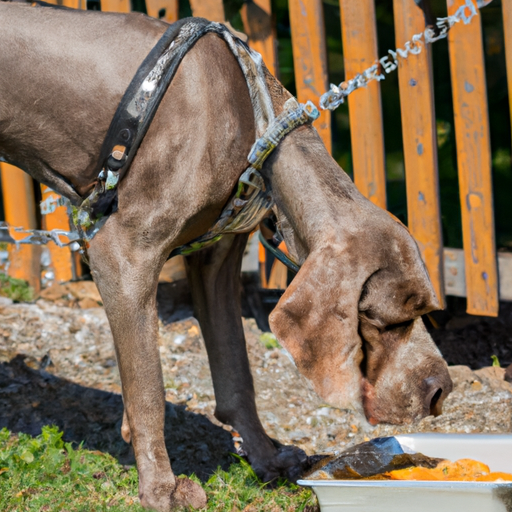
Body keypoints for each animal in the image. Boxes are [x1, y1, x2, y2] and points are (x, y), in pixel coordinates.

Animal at [1, 3, 452, 508]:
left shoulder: (214, 259)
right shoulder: (123, 254)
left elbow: (237, 373)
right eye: (384, 320)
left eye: (427, 312)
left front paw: (265, 457)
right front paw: (160, 488)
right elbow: (149, 390)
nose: (441, 391)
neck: (255, 122)